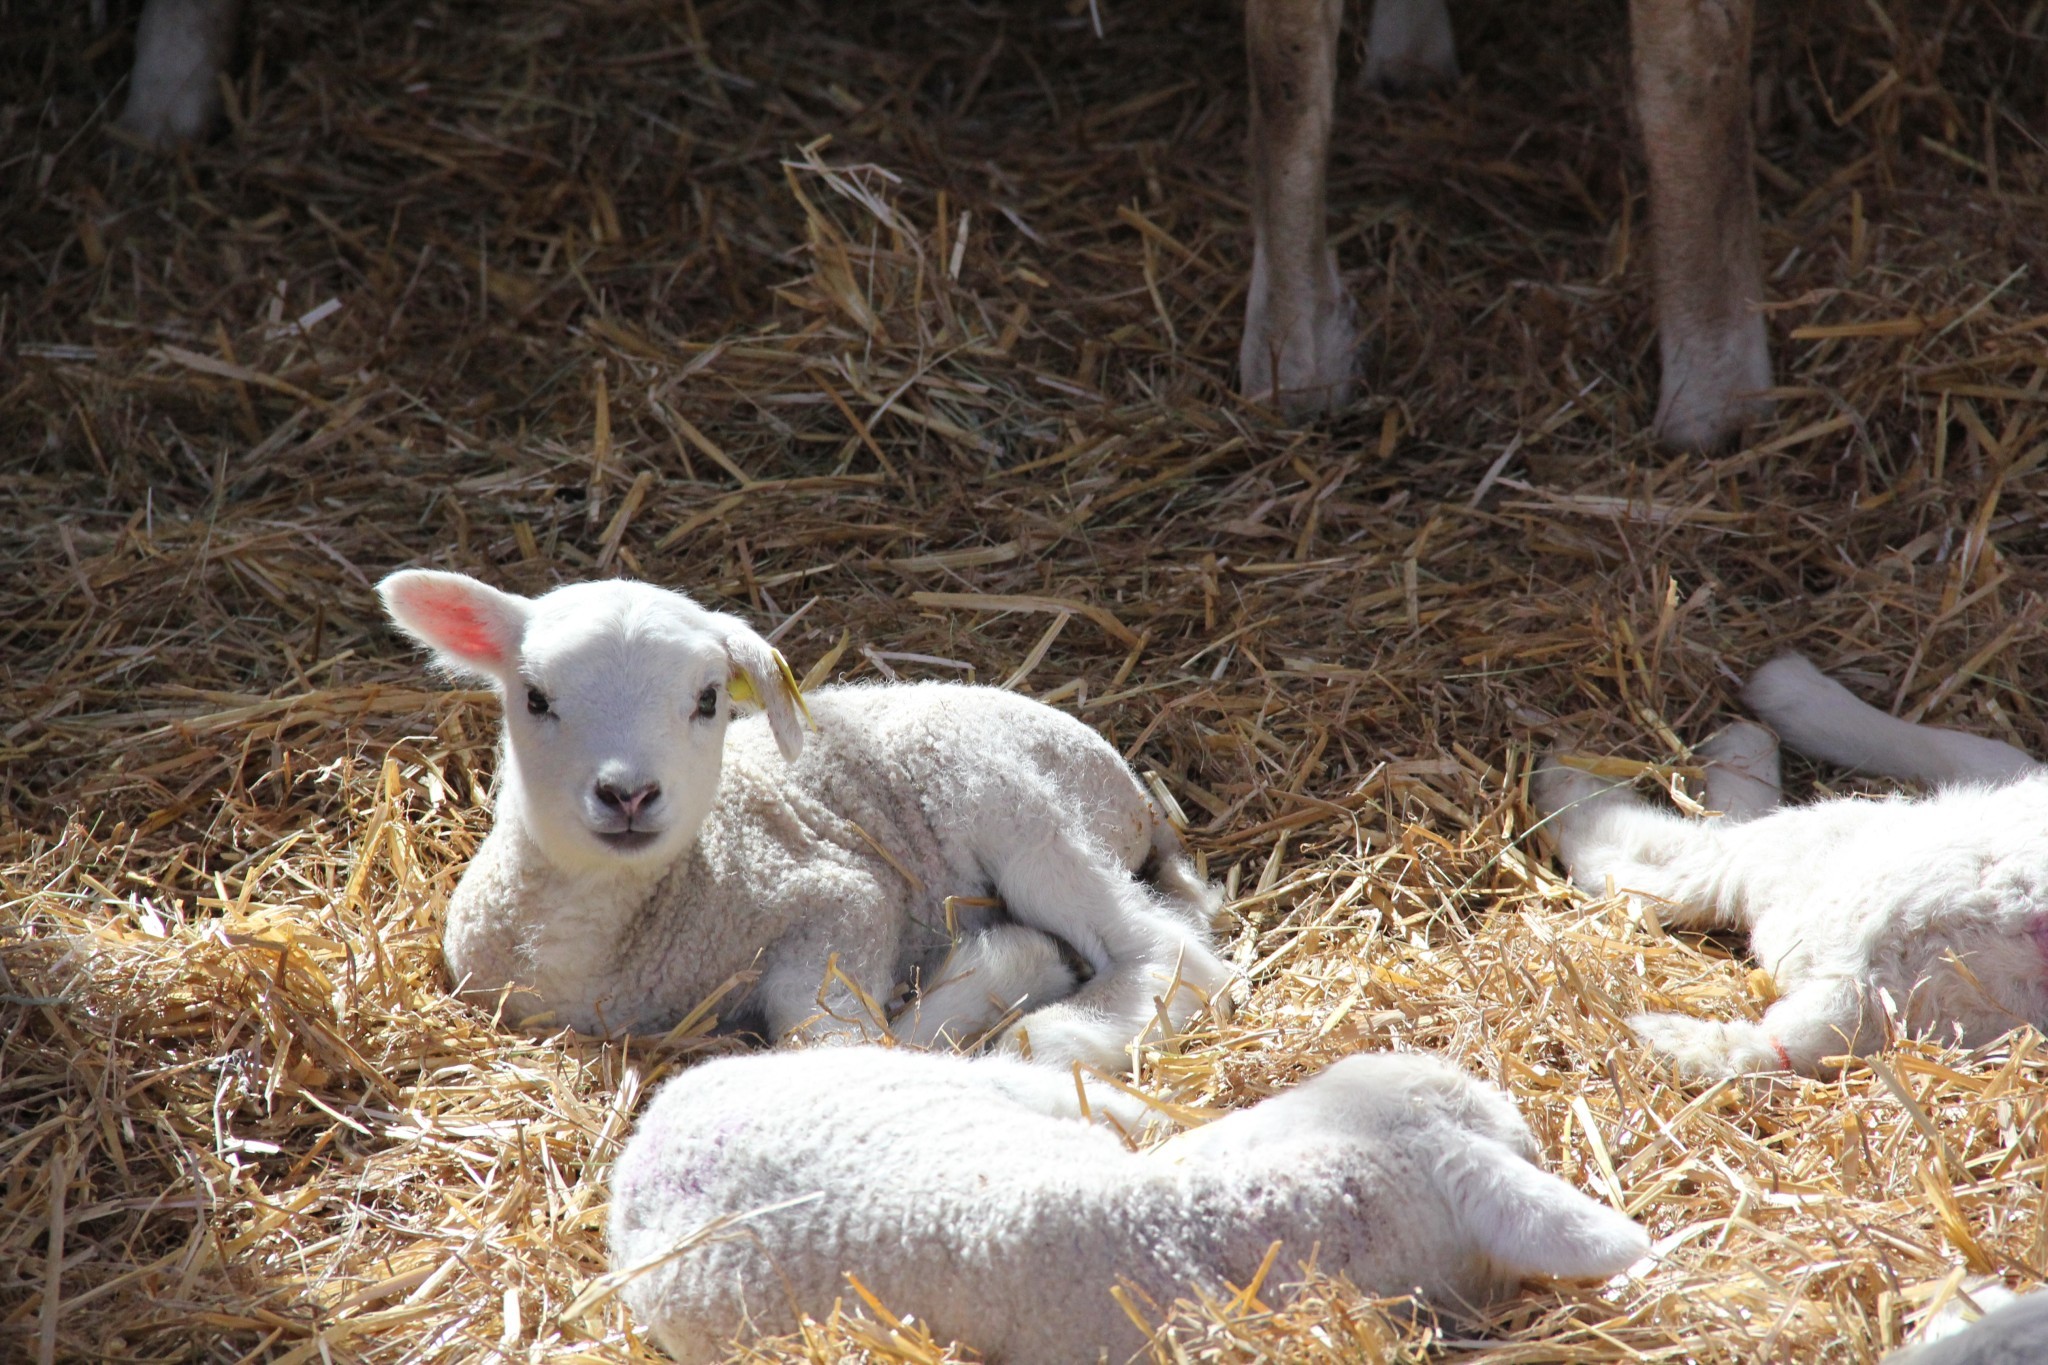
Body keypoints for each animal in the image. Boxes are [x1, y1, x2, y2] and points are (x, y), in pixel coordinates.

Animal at [380, 573, 1228, 1072]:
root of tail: (1135, 793)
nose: (628, 794)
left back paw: (1054, 1021)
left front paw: (1010, 969)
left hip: (1017, 802)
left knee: (1172, 952)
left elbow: (838, 1043)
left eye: (708, 699)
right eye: (535, 698)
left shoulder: (843, 897)